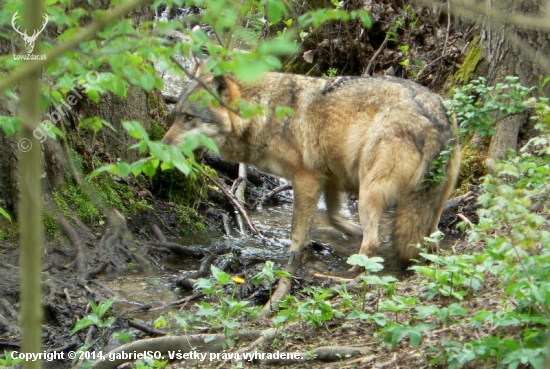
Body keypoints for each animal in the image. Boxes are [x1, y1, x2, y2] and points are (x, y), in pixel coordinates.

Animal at [163, 70, 462, 268]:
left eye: (189, 118)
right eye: (176, 116)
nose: (162, 145)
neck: (265, 113)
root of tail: (436, 118)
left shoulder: (306, 179)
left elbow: (298, 231)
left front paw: (293, 258)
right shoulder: (329, 178)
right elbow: (332, 217)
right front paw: (350, 231)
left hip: (369, 192)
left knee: (374, 242)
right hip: (427, 204)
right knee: (429, 240)